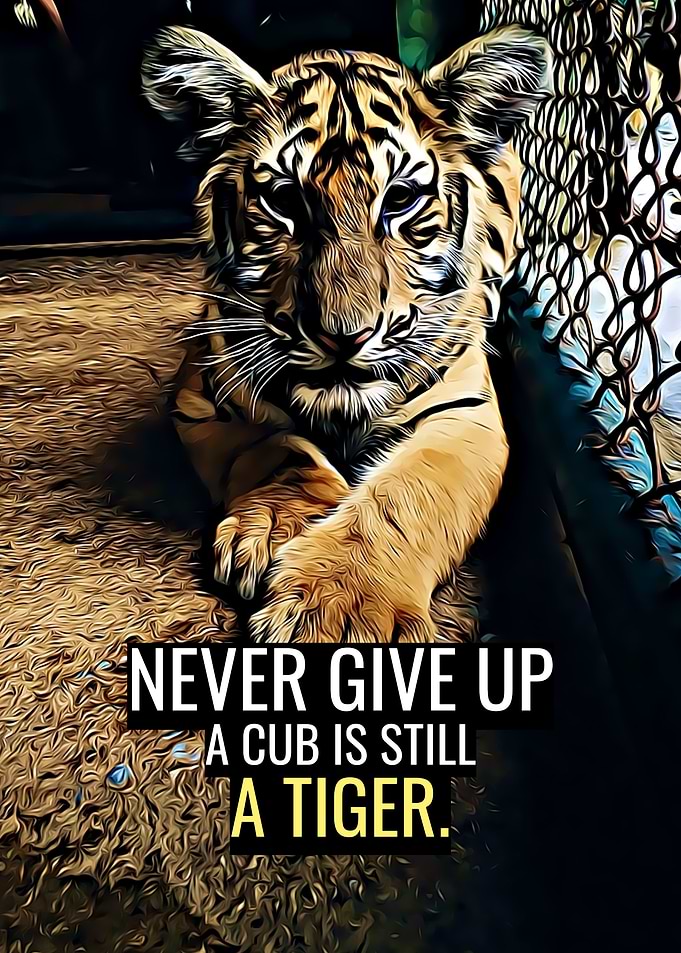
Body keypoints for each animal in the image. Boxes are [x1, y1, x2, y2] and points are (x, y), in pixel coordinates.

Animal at [141, 24, 552, 642]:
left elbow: (408, 494)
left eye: (401, 198)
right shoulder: (201, 396)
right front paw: (283, 524)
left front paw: (338, 607)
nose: (343, 337)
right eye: (284, 199)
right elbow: (279, 446)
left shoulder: (466, 413)